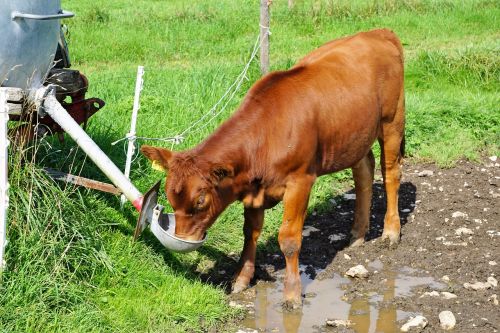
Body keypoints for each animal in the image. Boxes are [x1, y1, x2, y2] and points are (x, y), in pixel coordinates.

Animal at [139, 29, 404, 306]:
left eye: (200, 200)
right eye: (169, 196)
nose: (183, 239)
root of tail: (378, 33)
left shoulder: (300, 181)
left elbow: (289, 239)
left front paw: (292, 293)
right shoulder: (253, 188)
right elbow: (250, 231)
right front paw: (242, 279)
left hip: (392, 121)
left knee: (391, 173)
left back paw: (390, 232)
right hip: (355, 136)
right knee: (364, 171)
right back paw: (358, 234)